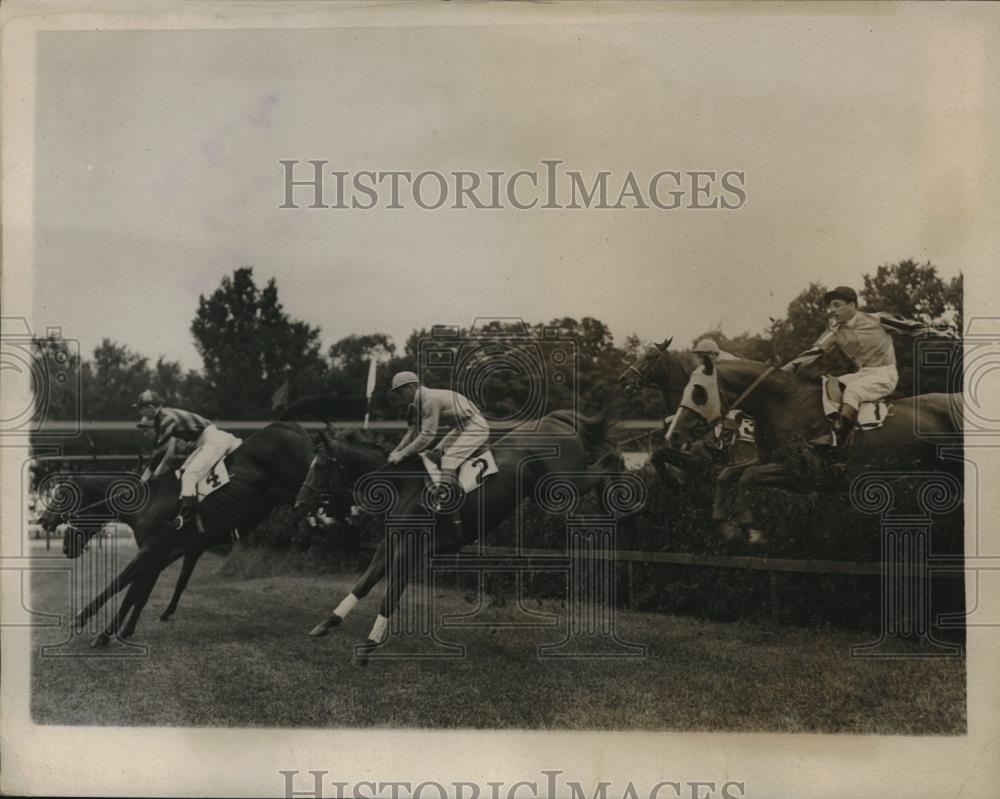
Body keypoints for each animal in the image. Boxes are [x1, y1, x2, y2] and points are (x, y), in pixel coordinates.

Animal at [69, 422, 312, 648]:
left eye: (67, 502)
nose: (67, 548)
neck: (148, 502)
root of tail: (291, 426)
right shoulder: (163, 555)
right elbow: (140, 592)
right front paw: (123, 630)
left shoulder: (152, 550)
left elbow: (121, 585)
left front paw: (91, 625)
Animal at [294, 412, 624, 664]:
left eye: (320, 465)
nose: (299, 503)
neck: (401, 485)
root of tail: (553, 419)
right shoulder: (390, 543)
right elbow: (364, 583)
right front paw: (326, 623)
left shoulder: (411, 548)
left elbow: (390, 595)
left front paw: (367, 648)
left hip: (563, 483)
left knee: (612, 458)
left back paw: (618, 497)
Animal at [656, 348, 960, 544]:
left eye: (698, 392)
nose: (674, 433)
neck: (783, 404)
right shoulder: (768, 460)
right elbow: (728, 474)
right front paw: (724, 525)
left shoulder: (806, 473)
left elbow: (748, 476)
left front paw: (749, 528)